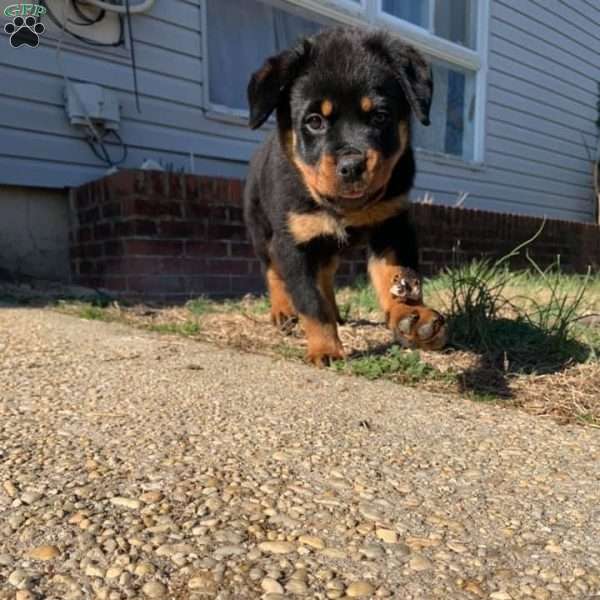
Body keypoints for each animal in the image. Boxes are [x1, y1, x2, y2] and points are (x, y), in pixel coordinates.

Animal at [243, 24, 446, 366]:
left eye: (380, 116)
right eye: (314, 121)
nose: (351, 166)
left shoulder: (392, 224)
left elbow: (396, 274)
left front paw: (410, 316)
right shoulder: (293, 243)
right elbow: (309, 301)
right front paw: (325, 349)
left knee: (325, 275)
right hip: (262, 231)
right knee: (272, 270)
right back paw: (282, 311)